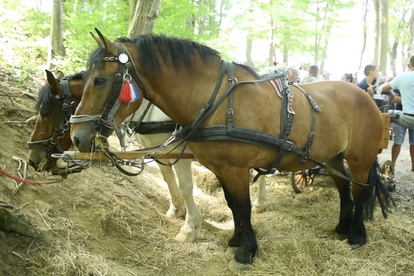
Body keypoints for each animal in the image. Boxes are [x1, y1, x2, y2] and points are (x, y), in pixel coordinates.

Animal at [70, 29, 392, 272]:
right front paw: (236, 240)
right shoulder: (220, 168)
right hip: (331, 157)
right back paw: (342, 227)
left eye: (99, 80)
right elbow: (232, 205)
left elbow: (243, 206)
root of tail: (366, 96)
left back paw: (357, 235)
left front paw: (245, 252)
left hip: (359, 159)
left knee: (361, 191)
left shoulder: (236, 168)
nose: (76, 136)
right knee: (343, 189)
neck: (217, 102)